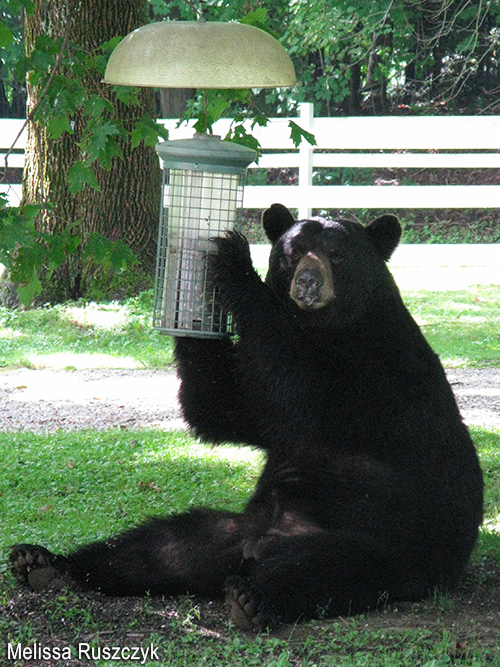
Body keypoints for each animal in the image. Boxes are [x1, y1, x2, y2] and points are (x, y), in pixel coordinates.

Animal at [10, 203, 483, 631]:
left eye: (337, 254)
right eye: (293, 251)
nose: (307, 282)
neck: (325, 328)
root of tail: (258, 548)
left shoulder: (373, 368)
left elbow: (297, 391)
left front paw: (235, 262)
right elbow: (226, 410)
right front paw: (192, 310)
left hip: (385, 541)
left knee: (328, 568)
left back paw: (253, 598)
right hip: (228, 532)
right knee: (159, 546)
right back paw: (45, 564)